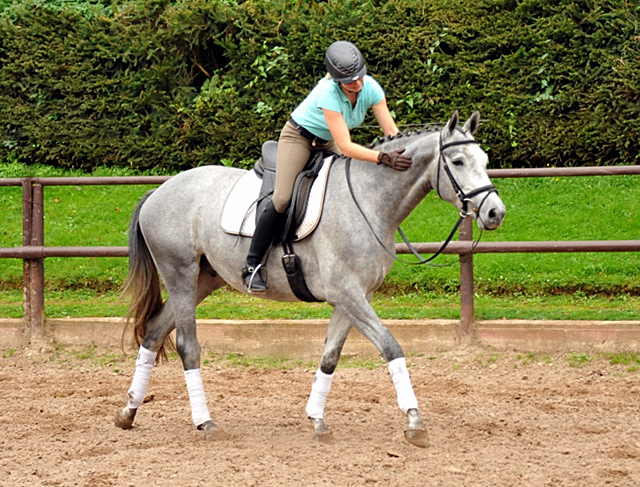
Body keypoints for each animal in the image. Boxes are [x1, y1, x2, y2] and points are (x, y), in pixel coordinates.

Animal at [114, 108, 504, 448]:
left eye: (484, 161)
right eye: (458, 162)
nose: (495, 212)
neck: (369, 200)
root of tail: (160, 190)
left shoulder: (354, 298)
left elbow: (330, 357)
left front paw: (317, 420)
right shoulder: (347, 294)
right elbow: (391, 347)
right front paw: (414, 421)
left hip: (203, 281)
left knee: (154, 332)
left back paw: (129, 411)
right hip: (180, 274)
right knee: (187, 346)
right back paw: (205, 422)